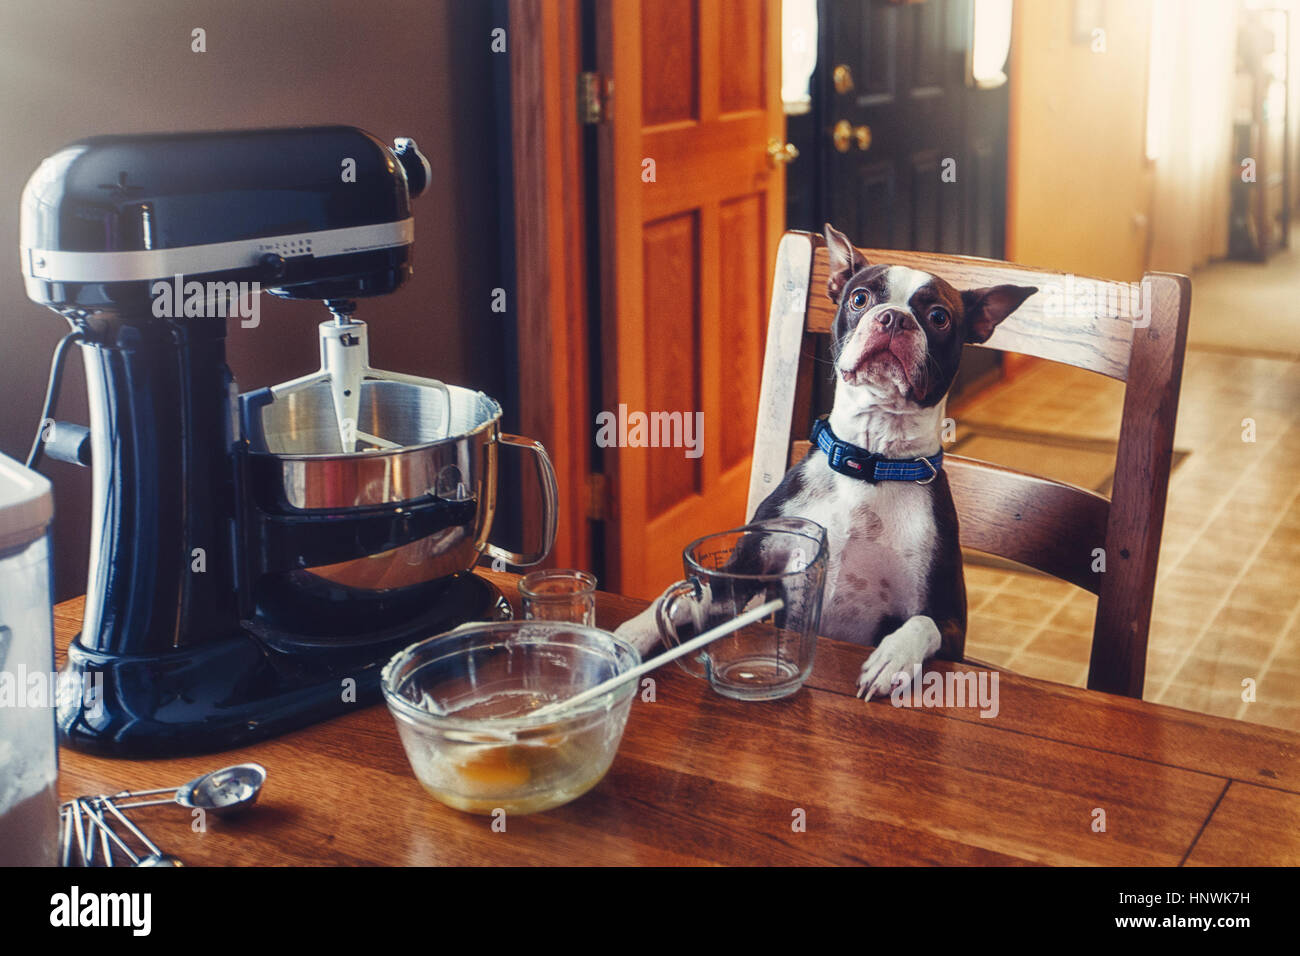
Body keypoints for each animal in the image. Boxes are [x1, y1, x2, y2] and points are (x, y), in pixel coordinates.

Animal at [616, 225, 1034, 702]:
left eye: (939, 317)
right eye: (860, 298)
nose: (894, 318)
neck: (870, 464)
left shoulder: (950, 621)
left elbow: (921, 624)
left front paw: (892, 658)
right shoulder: (744, 570)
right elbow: (683, 599)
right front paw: (629, 634)